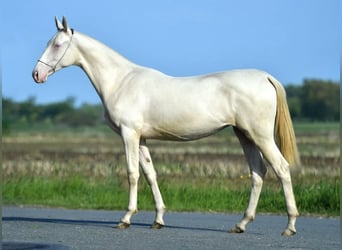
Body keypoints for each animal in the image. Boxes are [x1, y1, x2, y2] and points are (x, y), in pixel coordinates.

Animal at [32, 16, 300, 236]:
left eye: (57, 45)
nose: (36, 74)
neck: (121, 81)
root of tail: (265, 77)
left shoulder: (129, 134)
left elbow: (132, 173)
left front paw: (126, 218)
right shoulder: (141, 138)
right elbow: (151, 174)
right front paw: (158, 219)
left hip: (260, 135)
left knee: (281, 168)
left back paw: (290, 225)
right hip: (244, 135)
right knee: (258, 173)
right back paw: (241, 224)